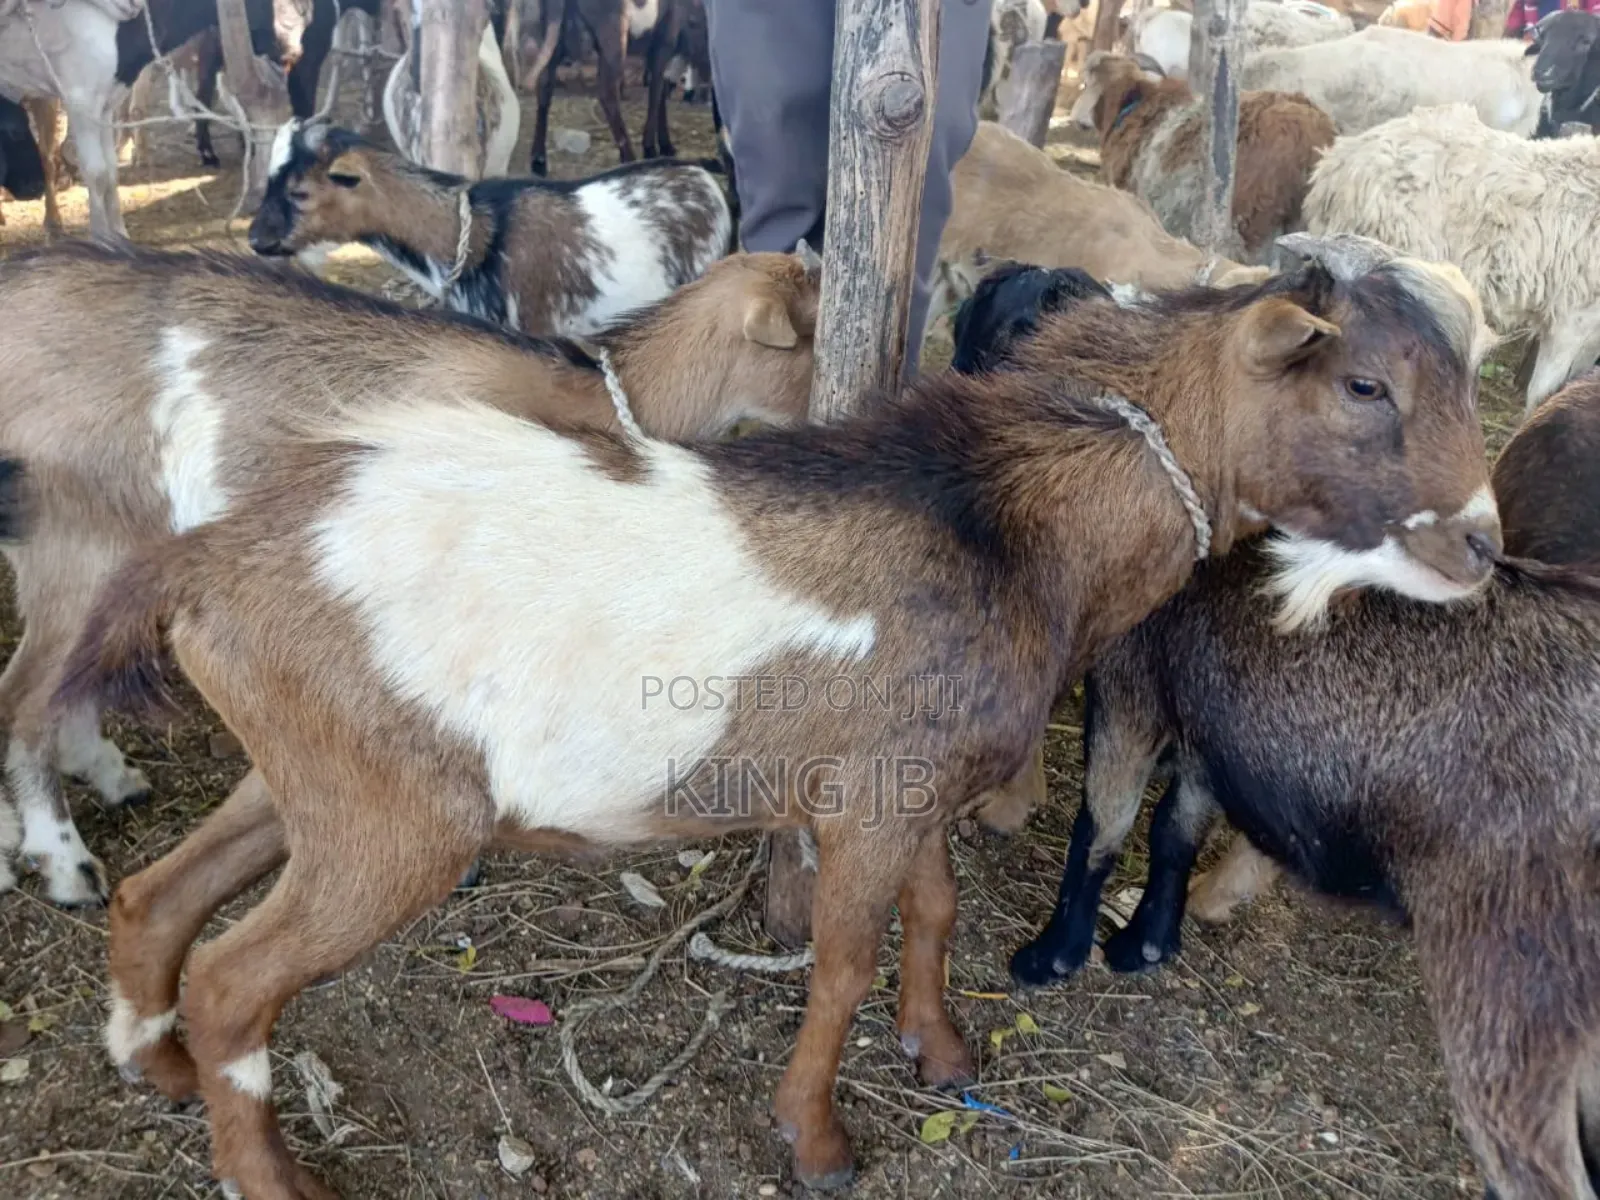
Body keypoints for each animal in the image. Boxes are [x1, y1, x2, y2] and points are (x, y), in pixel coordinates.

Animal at [1006, 373, 1600, 1197]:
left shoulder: (1135, 680)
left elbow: (1105, 821)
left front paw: (1052, 956)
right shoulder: (1212, 718)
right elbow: (1174, 829)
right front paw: (1149, 943)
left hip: (1512, 992)